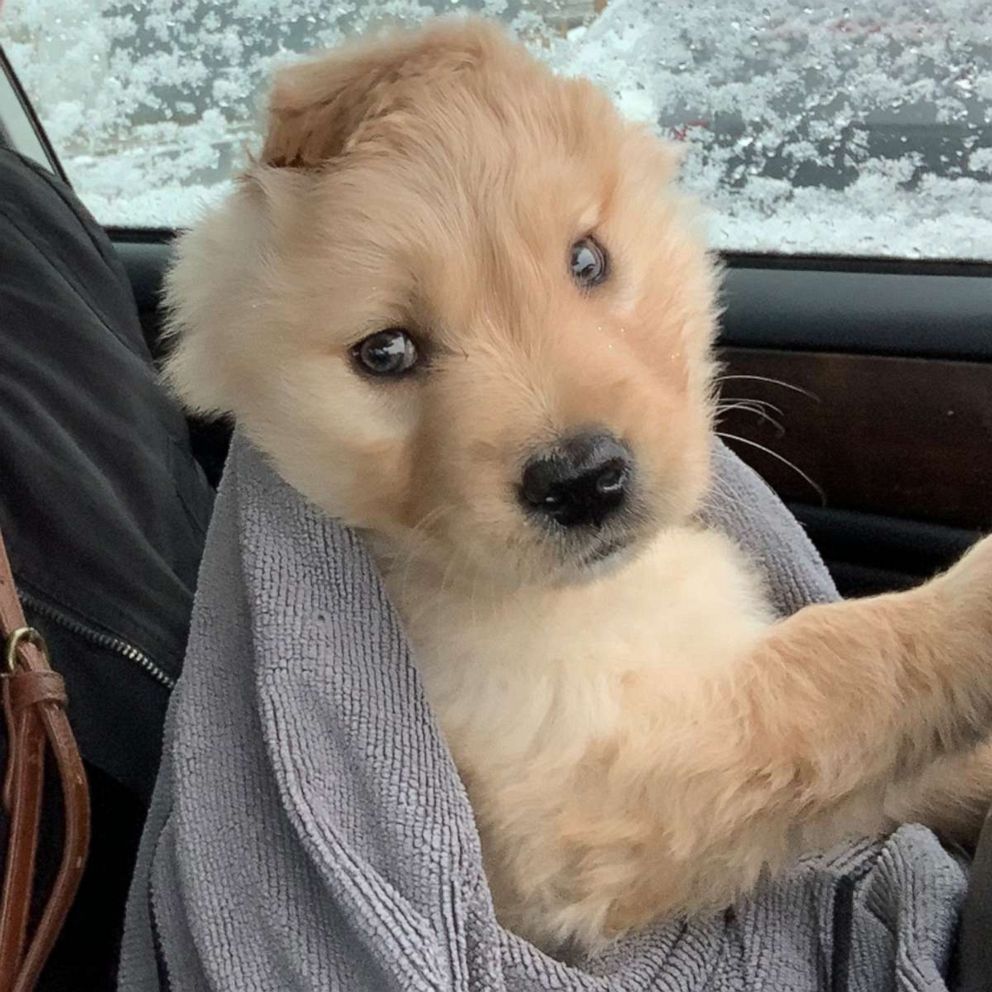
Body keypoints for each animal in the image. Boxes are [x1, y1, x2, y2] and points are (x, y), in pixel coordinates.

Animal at [163, 15, 992, 956]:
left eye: (588, 261)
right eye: (386, 352)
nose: (584, 482)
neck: (602, 596)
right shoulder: (575, 803)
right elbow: (835, 660)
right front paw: (972, 605)